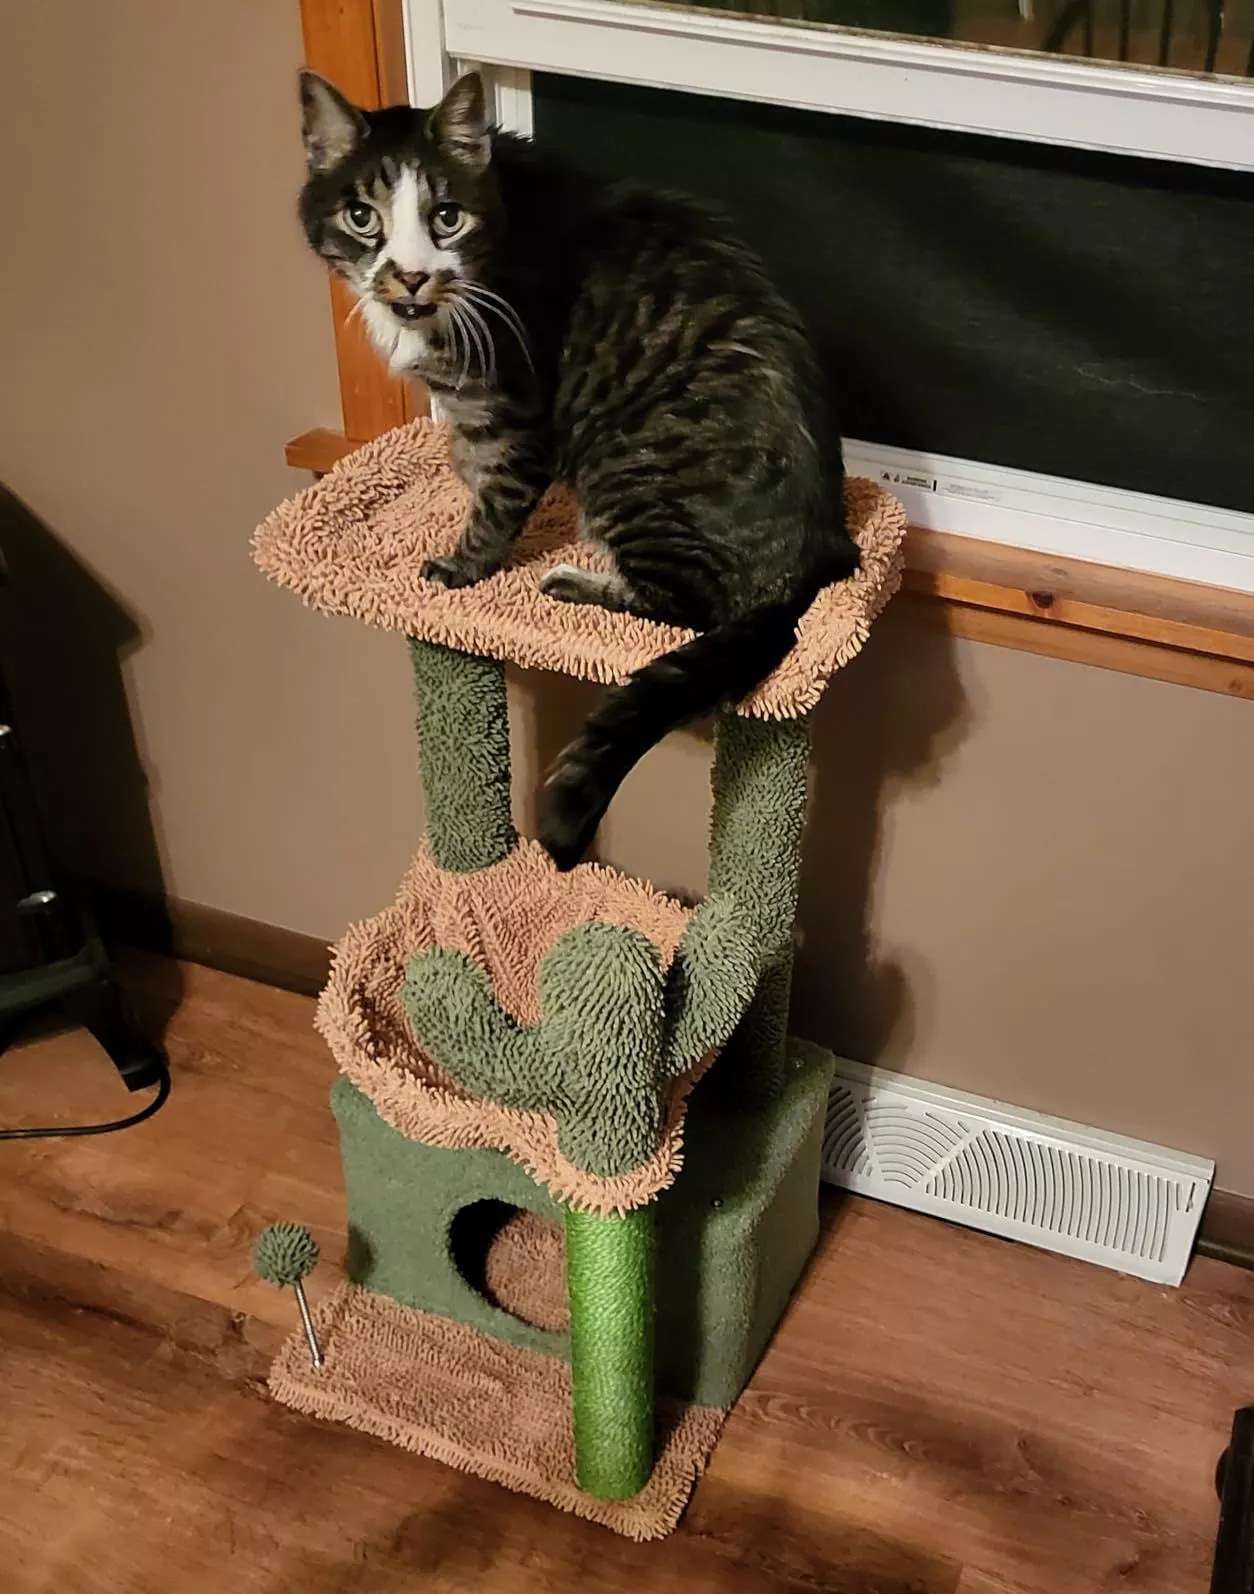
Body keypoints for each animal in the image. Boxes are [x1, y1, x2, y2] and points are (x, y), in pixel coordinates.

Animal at [298, 69, 859, 870]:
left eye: (446, 218)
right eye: (361, 216)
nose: (408, 277)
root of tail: (816, 558)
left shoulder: (518, 403)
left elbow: (497, 494)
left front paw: (461, 568)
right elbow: (467, 457)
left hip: (630, 473)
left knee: (689, 604)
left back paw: (574, 580)